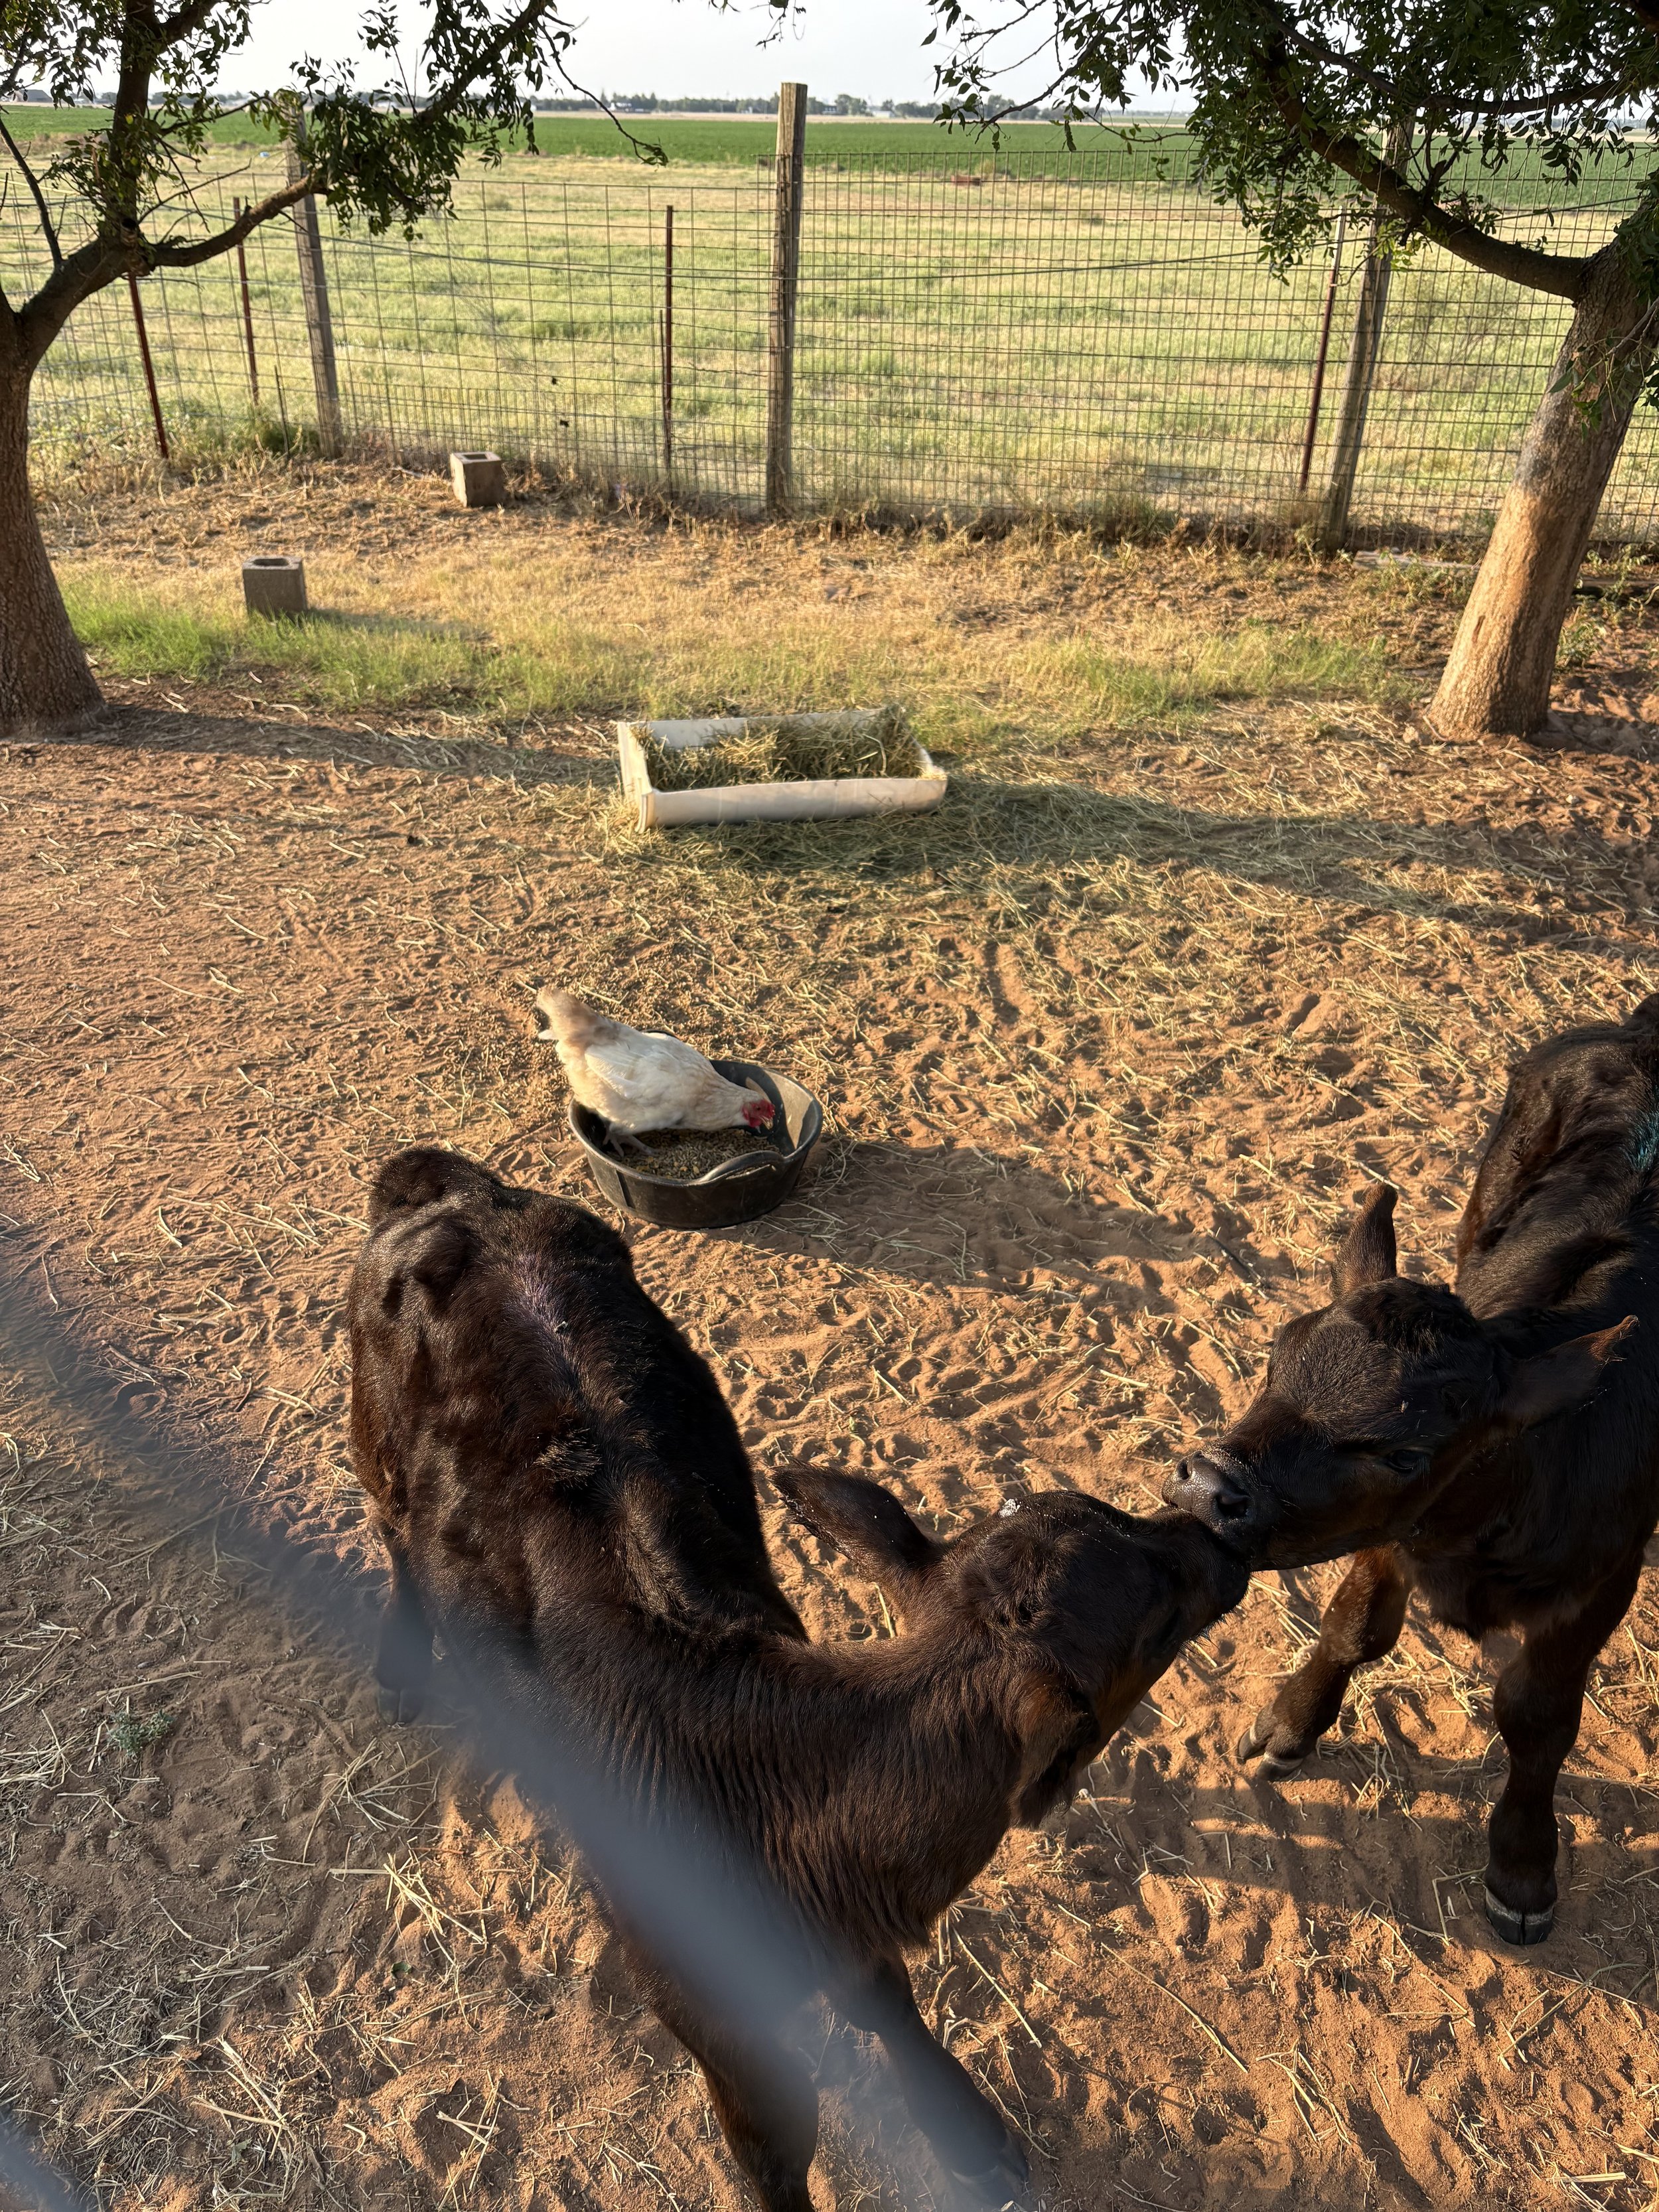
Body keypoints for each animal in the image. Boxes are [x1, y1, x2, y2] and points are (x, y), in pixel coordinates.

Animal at [350, 1144, 1248, 2211]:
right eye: (1156, 1615)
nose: (1216, 1521)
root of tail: (455, 1187)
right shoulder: (710, 2013)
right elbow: (776, 2145)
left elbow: (886, 2001)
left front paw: (967, 2131)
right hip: (372, 1433)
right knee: (393, 1533)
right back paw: (401, 1668)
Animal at [1162, 994, 1659, 1946]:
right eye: (1278, 1354)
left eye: (1406, 1451)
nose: (1209, 1483)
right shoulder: (1391, 1535)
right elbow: (1355, 1627)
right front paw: (1289, 1726)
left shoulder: (1600, 1575)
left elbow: (1539, 1717)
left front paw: (1522, 1865)